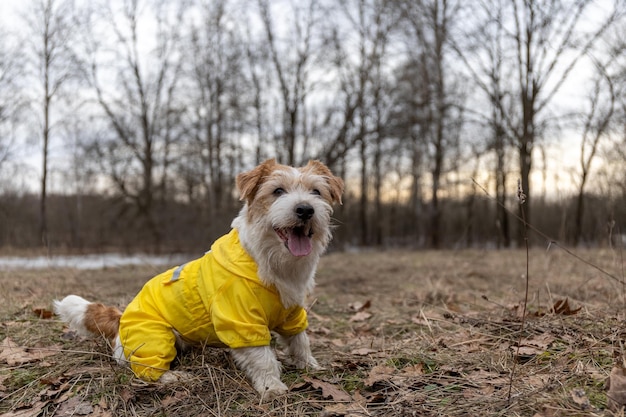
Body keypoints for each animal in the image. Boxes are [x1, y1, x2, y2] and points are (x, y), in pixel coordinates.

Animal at [53, 158, 344, 398]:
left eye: (316, 192)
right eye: (278, 191)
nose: (305, 209)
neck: (271, 261)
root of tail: (121, 319)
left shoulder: (293, 311)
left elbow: (300, 340)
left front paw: (310, 366)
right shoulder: (241, 321)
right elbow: (263, 357)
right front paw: (272, 387)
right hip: (156, 337)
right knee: (145, 371)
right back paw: (174, 377)